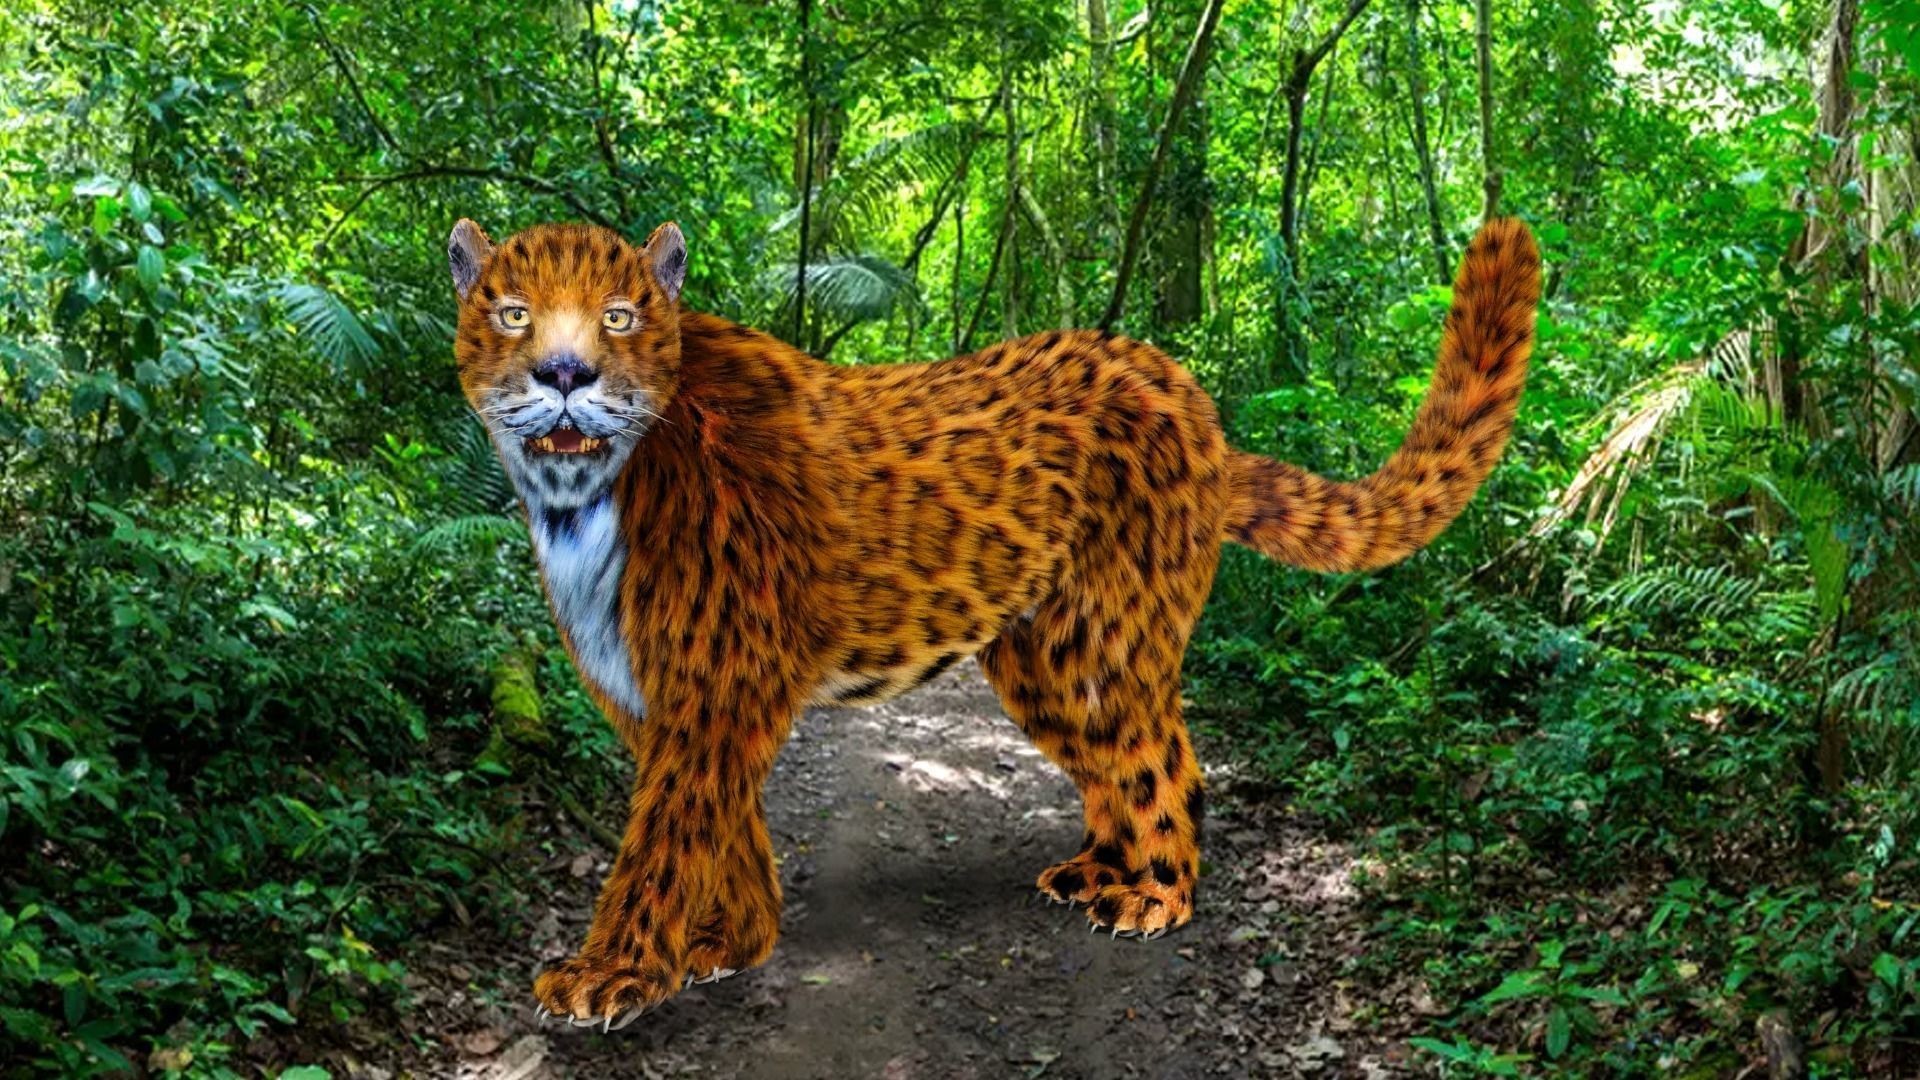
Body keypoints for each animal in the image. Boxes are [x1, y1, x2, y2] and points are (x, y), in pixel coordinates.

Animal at [444, 215, 1540, 1030]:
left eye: (621, 317)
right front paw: (732, 942)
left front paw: (611, 975)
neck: (581, 501)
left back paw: (1154, 898)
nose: (566, 375)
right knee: (1133, 760)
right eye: (513, 314)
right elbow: (727, 829)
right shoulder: (653, 697)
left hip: (1104, 635)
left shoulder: (714, 688)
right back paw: (1100, 871)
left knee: (1164, 760)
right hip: (1047, 657)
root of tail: (1194, 401)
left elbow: (661, 842)